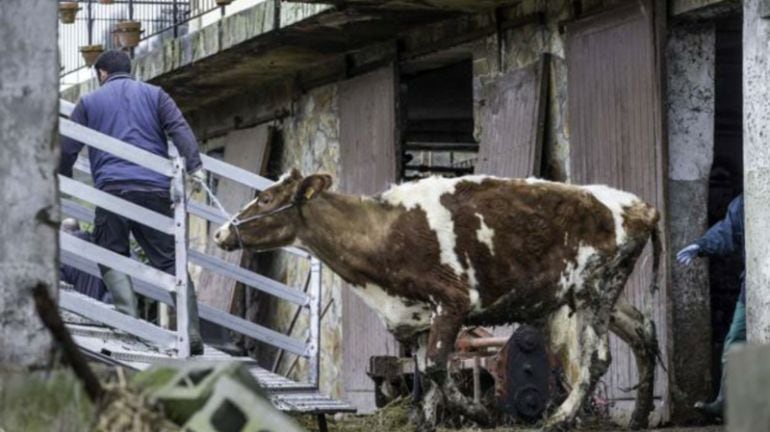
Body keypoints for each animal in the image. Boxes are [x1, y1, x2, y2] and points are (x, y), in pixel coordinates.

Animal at [212, 170, 660, 430]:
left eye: (266, 199)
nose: (220, 232)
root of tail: (641, 206)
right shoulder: (417, 319)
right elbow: (424, 377)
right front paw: (429, 421)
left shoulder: (452, 302)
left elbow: (437, 369)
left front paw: (482, 414)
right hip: (603, 295)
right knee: (644, 331)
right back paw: (639, 416)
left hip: (594, 290)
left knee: (597, 358)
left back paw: (560, 418)